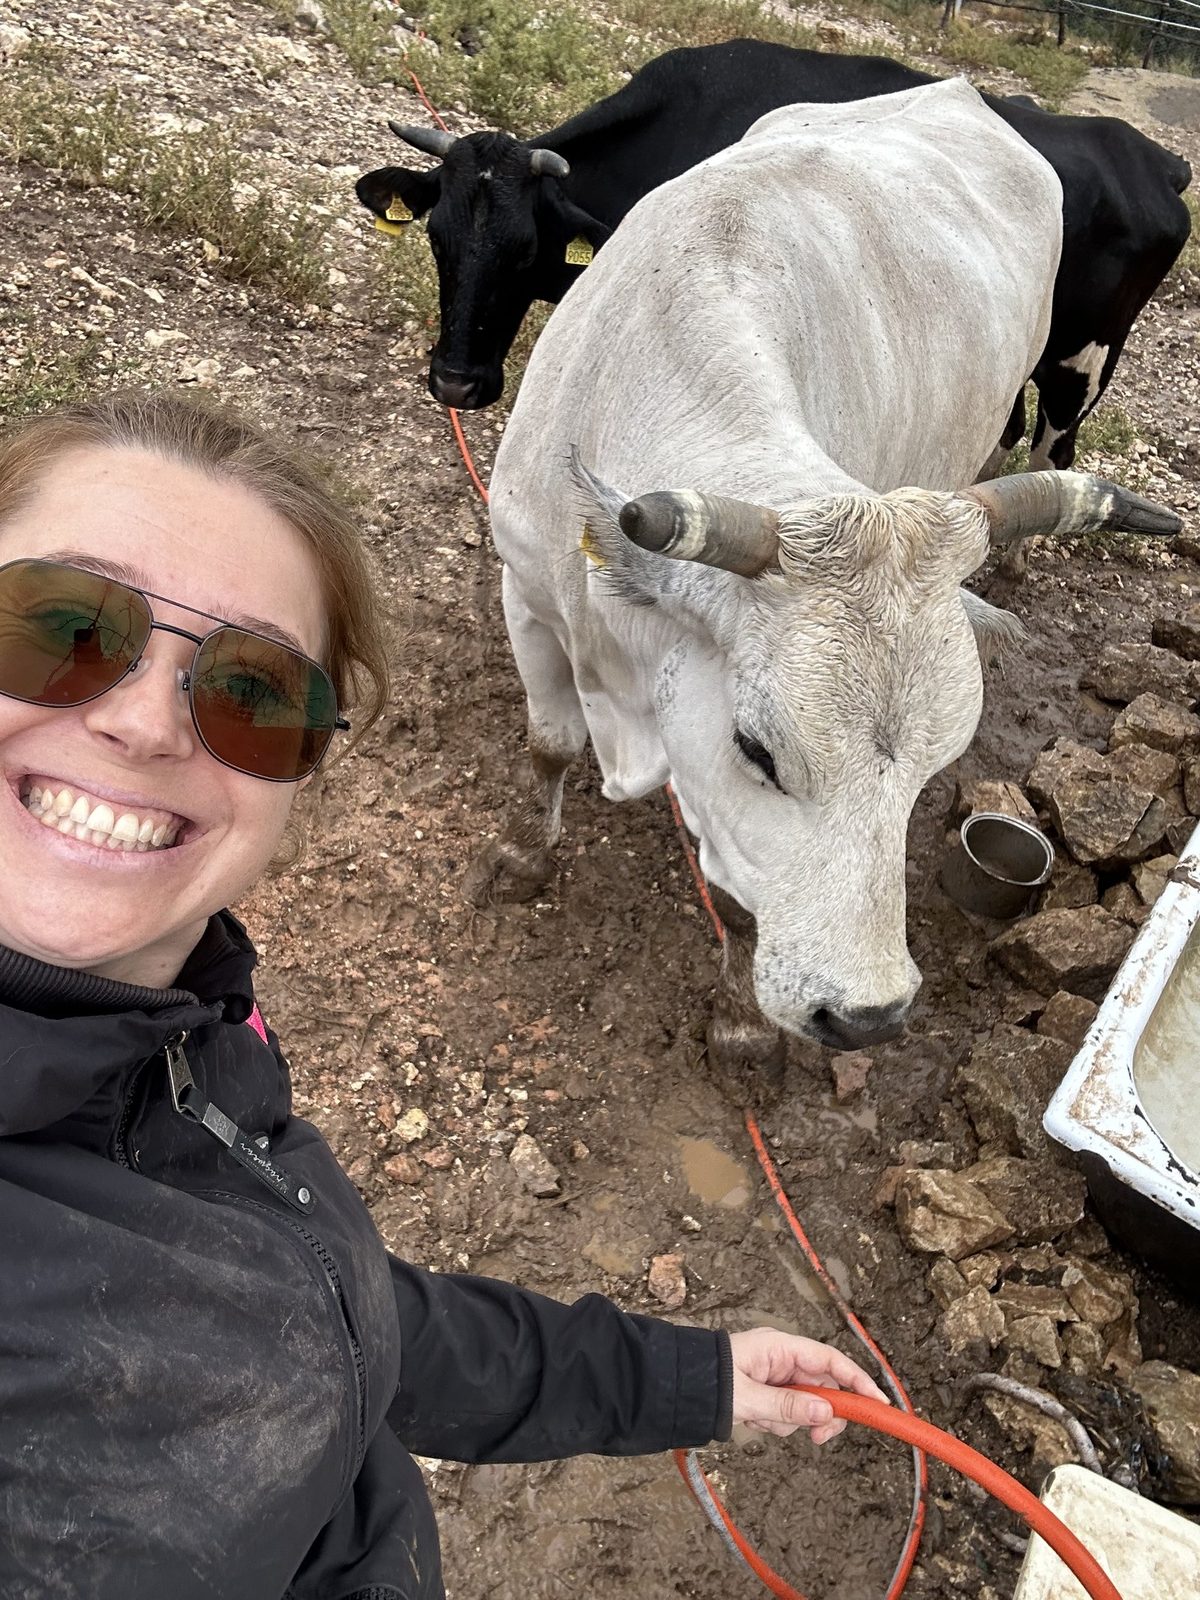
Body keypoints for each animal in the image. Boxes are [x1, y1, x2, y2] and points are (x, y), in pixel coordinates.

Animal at [356, 37, 1191, 481]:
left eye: (525, 248)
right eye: (437, 237)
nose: (456, 383)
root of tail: (1152, 156)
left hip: (1085, 359)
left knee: (1055, 447)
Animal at [466, 80, 1180, 1069]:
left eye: (934, 770)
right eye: (759, 750)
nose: (868, 1017)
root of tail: (963, 90)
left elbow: (736, 891)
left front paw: (737, 1021)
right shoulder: (527, 593)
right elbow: (549, 745)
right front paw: (521, 857)